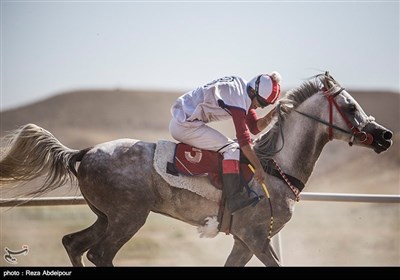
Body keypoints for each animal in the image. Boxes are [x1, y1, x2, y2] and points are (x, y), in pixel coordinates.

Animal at [0, 71, 394, 264]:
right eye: (351, 107)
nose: (386, 135)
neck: (274, 168)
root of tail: (86, 152)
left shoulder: (243, 241)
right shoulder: (256, 236)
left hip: (106, 216)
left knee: (73, 244)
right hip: (128, 217)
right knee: (99, 254)